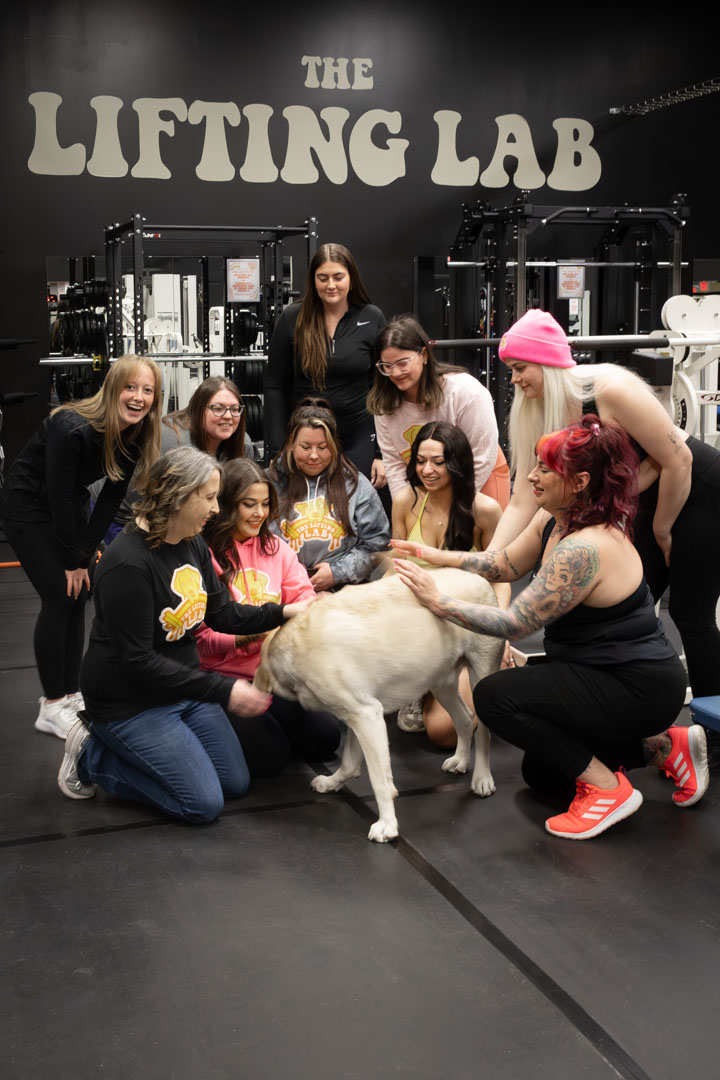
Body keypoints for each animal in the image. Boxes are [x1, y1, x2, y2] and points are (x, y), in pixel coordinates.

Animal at [254, 567, 504, 842]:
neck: (293, 646)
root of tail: (480, 579)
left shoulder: (367, 716)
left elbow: (380, 781)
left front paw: (387, 824)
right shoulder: (356, 715)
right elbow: (349, 763)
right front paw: (332, 783)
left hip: (480, 676)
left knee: (483, 733)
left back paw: (482, 778)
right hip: (441, 682)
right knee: (464, 719)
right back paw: (460, 760)